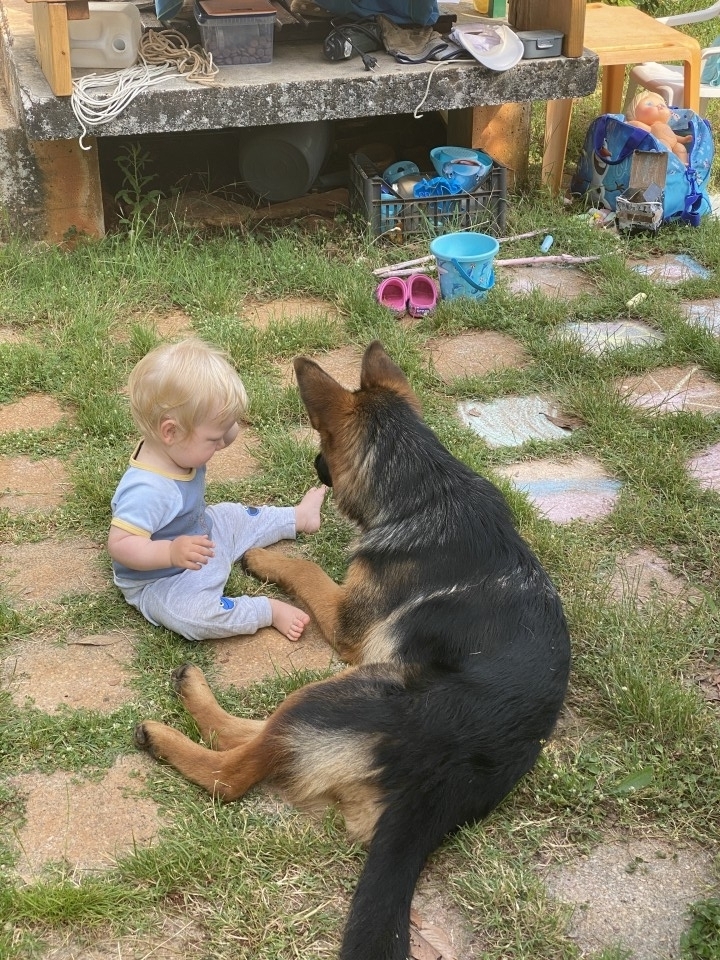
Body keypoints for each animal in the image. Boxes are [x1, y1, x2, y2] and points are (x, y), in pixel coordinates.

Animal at [135, 340, 572, 960]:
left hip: (350, 687)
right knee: (262, 736)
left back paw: (168, 730)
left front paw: (266, 557)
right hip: (337, 695)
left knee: (234, 774)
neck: (426, 489)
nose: (315, 468)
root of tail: (443, 786)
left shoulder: (346, 619)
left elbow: (309, 569)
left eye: (322, 443)